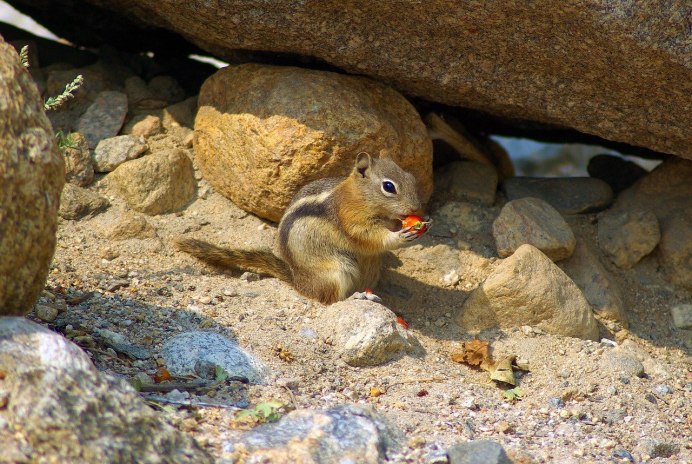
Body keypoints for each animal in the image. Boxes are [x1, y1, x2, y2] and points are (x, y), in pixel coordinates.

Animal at [174, 153, 428, 304]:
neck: (358, 196)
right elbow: (369, 237)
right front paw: (401, 236)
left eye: (411, 178)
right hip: (337, 272)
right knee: (330, 299)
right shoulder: (350, 219)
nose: (417, 207)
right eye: (389, 187)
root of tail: (298, 281)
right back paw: (356, 298)